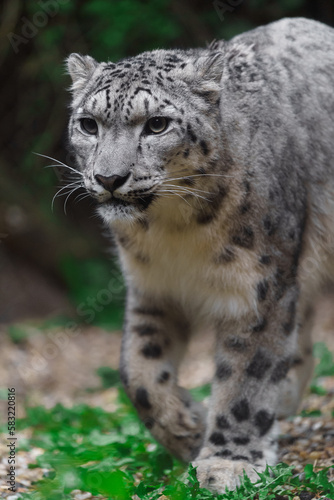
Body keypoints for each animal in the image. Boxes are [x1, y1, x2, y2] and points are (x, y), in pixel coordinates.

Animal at [64, 18, 334, 492]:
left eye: (157, 124)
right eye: (88, 123)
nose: (109, 178)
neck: (173, 230)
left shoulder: (257, 289)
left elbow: (246, 376)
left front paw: (227, 463)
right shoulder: (151, 288)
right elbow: (138, 371)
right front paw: (189, 428)